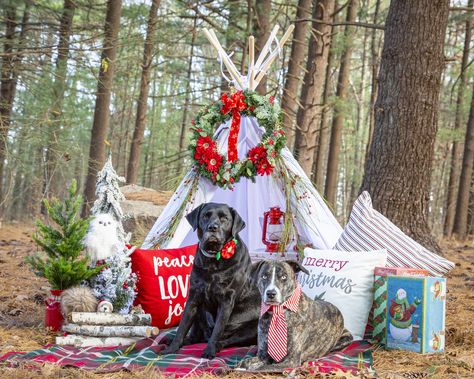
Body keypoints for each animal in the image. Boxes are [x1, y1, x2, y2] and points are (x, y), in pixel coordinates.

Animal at [161, 202, 262, 360]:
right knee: (197, 335)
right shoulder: (193, 297)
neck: (213, 262)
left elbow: (218, 329)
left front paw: (209, 351)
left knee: (226, 340)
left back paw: (217, 346)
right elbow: (182, 327)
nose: (213, 227)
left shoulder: (226, 300)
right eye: (205, 216)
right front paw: (172, 348)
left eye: (224, 218)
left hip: (253, 327)